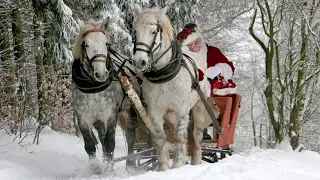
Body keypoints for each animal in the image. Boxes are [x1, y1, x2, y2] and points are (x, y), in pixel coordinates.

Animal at [132, 4, 210, 170]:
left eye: (153, 31)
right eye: (135, 32)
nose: (139, 61)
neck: (164, 75)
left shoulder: (182, 109)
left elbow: (179, 137)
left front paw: (178, 164)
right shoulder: (154, 112)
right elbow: (161, 138)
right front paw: (163, 167)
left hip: (199, 106)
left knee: (196, 135)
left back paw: (195, 161)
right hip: (171, 116)